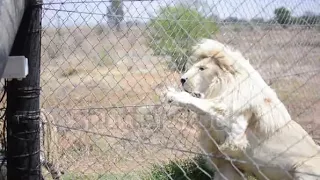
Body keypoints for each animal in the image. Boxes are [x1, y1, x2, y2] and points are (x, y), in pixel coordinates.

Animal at [166, 39, 320, 180]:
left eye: (202, 68)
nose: (182, 79)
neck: (221, 87)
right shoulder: (227, 164)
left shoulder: (236, 130)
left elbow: (208, 106)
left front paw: (174, 95)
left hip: (303, 169)